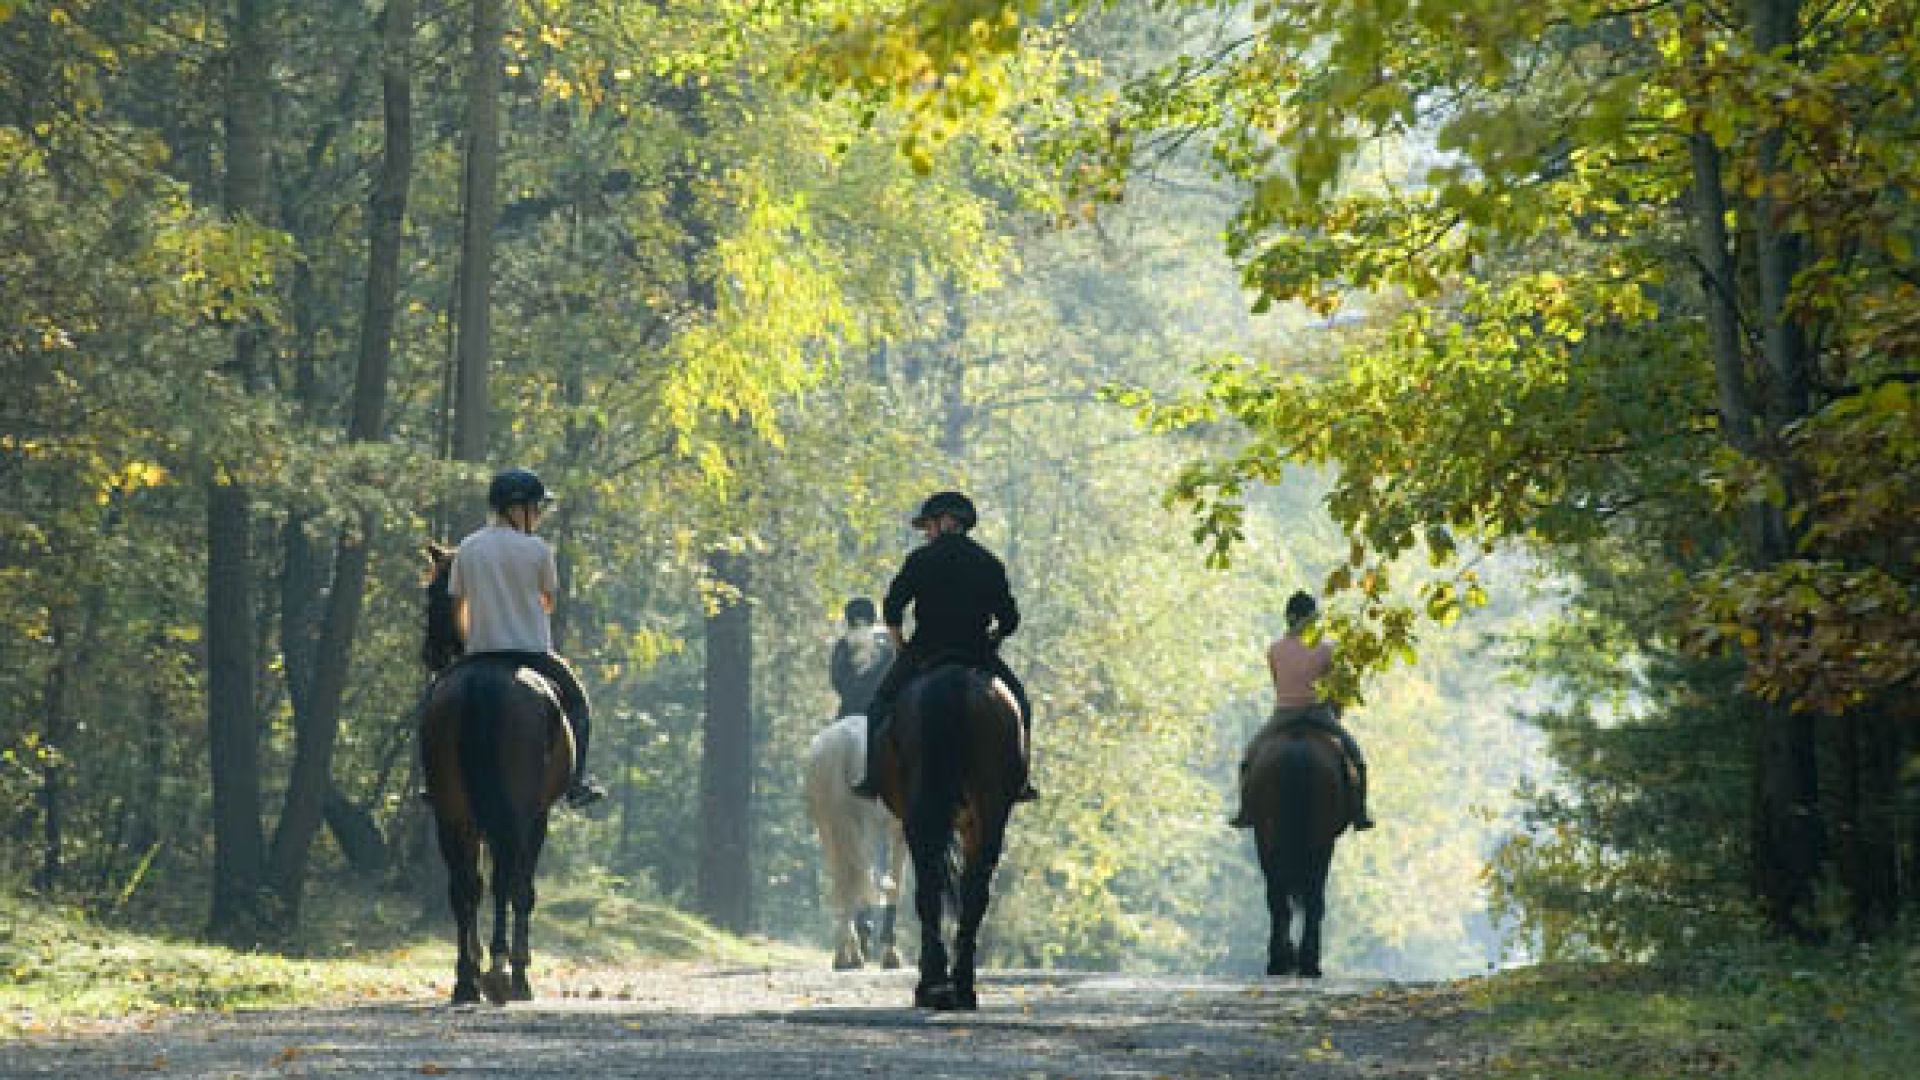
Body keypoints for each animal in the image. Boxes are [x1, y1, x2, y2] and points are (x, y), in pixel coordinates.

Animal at [420, 541, 568, 1006]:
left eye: (436, 594)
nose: (431, 655)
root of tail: (480, 683)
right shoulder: (536, 816)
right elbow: (522, 888)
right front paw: (516, 966)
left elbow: (477, 884)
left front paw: (476, 959)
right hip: (514, 813)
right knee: (506, 882)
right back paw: (506, 973)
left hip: (451, 810)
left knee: (464, 886)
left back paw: (466, 979)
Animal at [802, 714, 906, 968]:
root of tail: (842, 744)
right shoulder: (899, 832)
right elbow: (896, 883)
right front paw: (890, 953)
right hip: (866, 827)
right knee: (863, 876)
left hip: (828, 830)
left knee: (843, 880)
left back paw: (844, 954)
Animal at [875, 661, 1029, 1006]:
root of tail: (954, 679)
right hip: (989, 807)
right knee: (975, 886)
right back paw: (960, 983)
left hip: (925, 817)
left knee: (930, 885)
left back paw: (933, 984)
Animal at [1244, 722, 1351, 976]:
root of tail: (1297, 751)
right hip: (1318, 843)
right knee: (1312, 897)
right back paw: (1305, 962)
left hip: (1269, 840)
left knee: (1278, 898)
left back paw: (1282, 960)